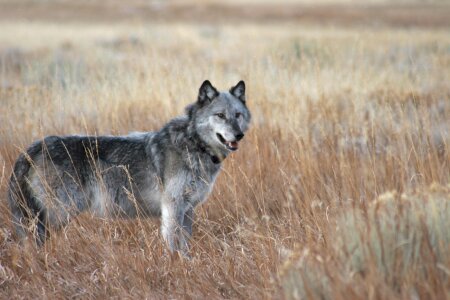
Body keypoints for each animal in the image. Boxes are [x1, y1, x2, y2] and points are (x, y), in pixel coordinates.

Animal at [7, 80, 251, 255]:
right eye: (220, 115)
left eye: (237, 115)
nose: (239, 135)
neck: (194, 143)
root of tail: (32, 148)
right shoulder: (172, 207)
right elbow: (175, 245)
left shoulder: (188, 209)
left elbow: (185, 244)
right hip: (56, 214)